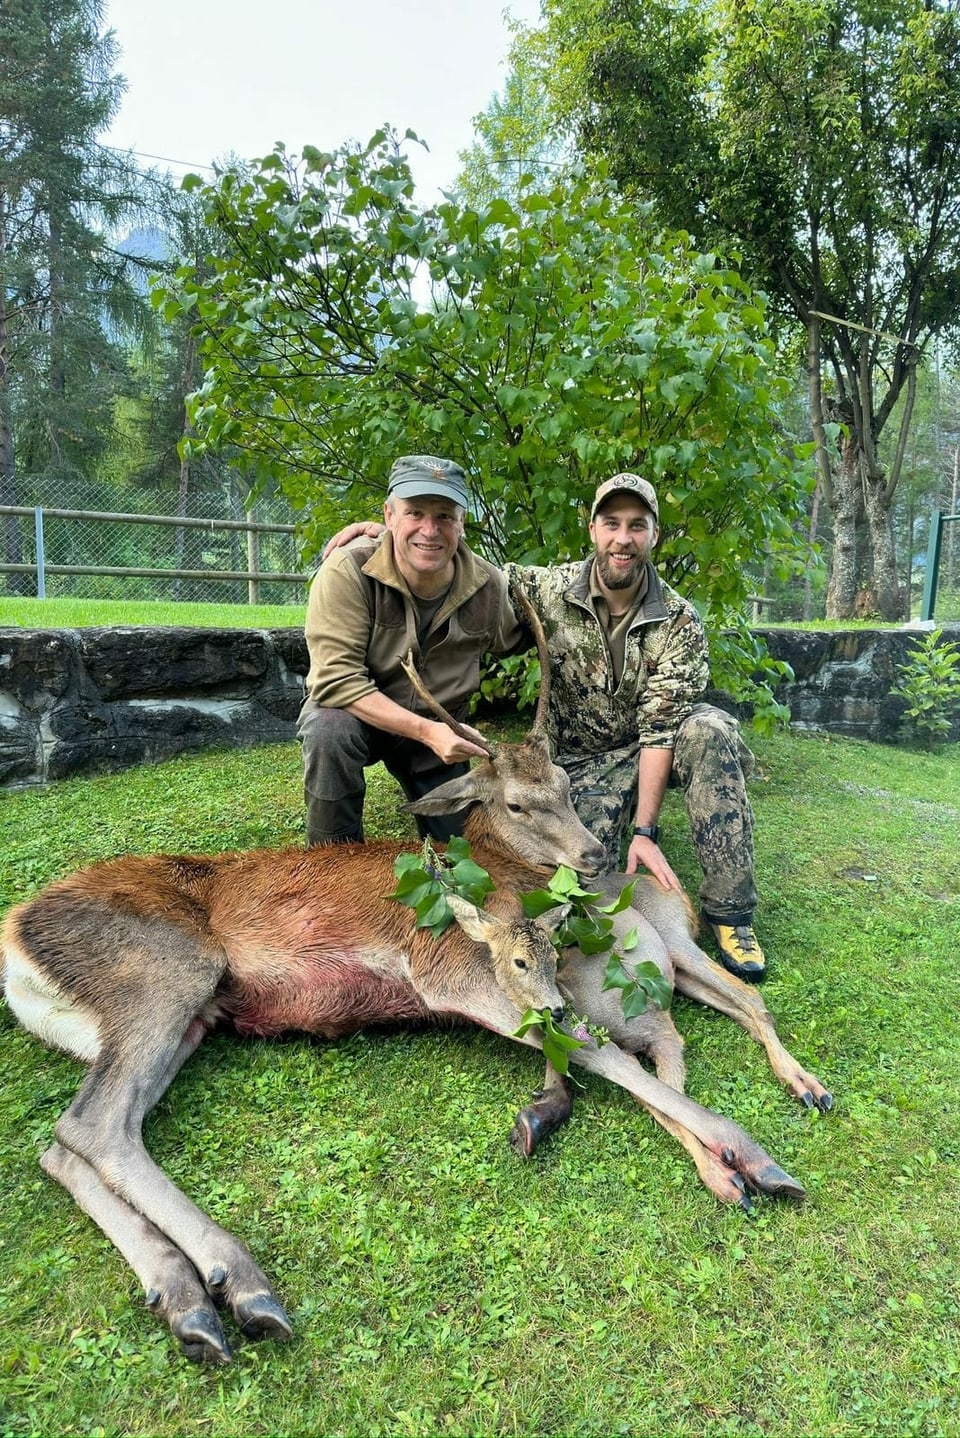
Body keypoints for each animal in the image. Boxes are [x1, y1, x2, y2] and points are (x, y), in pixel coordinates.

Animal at [0, 592, 827, 1357]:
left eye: (567, 785)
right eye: (518, 803)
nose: (596, 853)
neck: (504, 876)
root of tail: (14, 942)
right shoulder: (453, 969)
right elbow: (598, 1051)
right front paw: (753, 1160)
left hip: (187, 1019)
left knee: (69, 1140)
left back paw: (188, 1302)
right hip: (163, 971)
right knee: (94, 1127)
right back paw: (242, 1284)